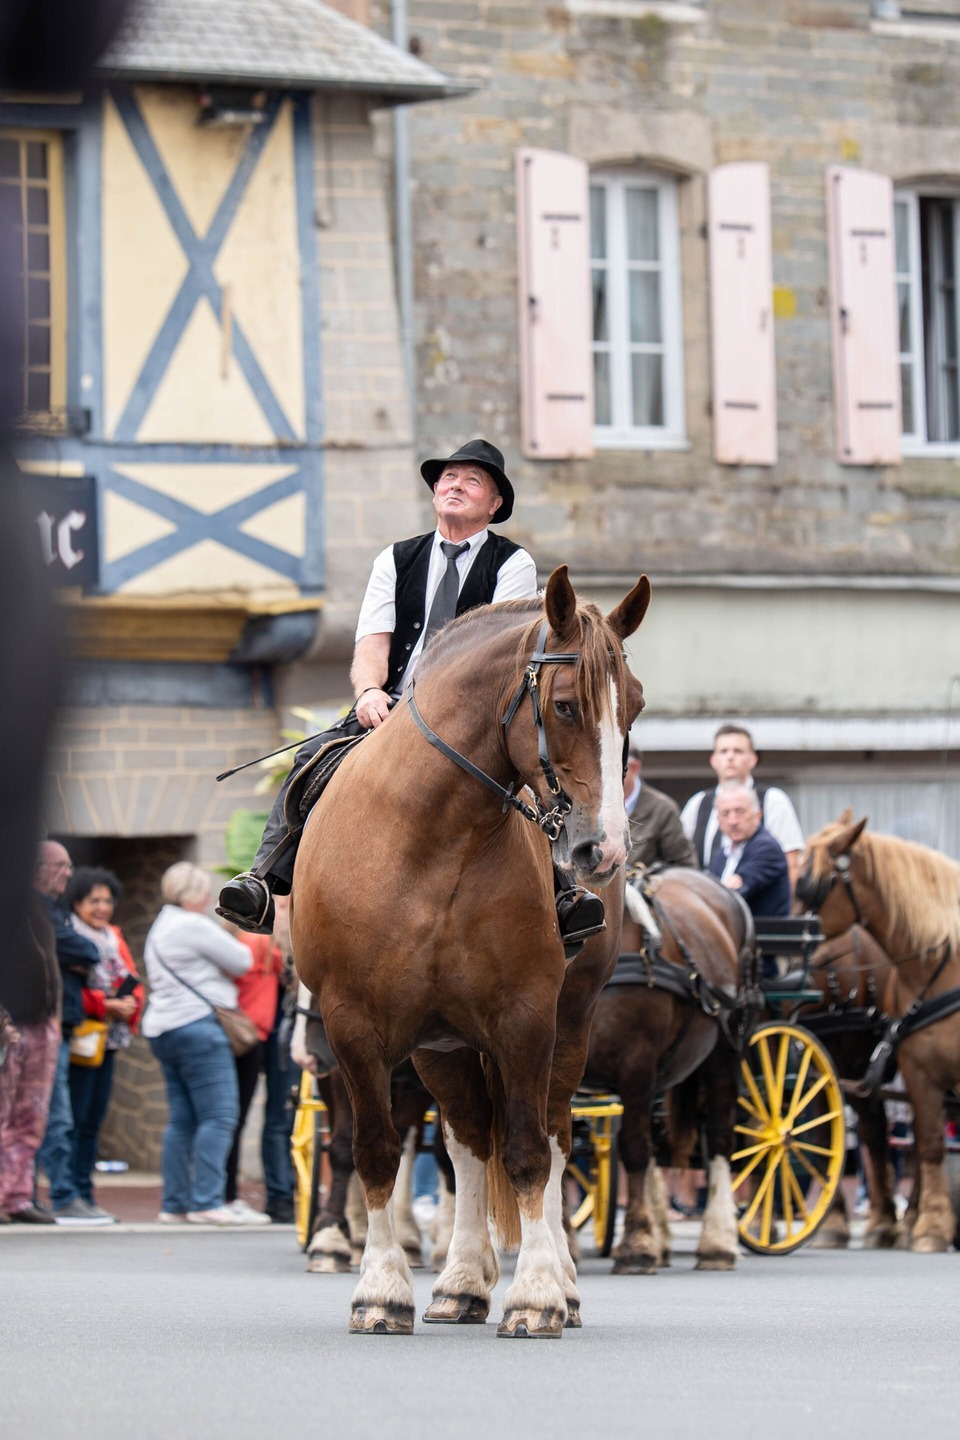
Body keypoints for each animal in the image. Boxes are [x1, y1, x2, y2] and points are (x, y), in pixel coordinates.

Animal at [289, 567, 650, 1330]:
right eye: (566, 706)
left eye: (634, 705)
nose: (604, 851)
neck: (434, 835)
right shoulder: (352, 1025)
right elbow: (375, 1150)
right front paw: (381, 1289)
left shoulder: (525, 1019)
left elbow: (530, 1152)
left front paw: (538, 1294)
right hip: (440, 1042)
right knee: (467, 1139)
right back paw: (460, 1281)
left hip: (566, 1027)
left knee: (550, 1133)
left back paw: (557, 1280)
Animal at [587, 864, 759, 1272]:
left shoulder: (635, 1064)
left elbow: (633, 1147)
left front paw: (636, 1245)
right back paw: (662, 1237)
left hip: (724, 1052)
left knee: (719, 1137)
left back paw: (717, 1242)